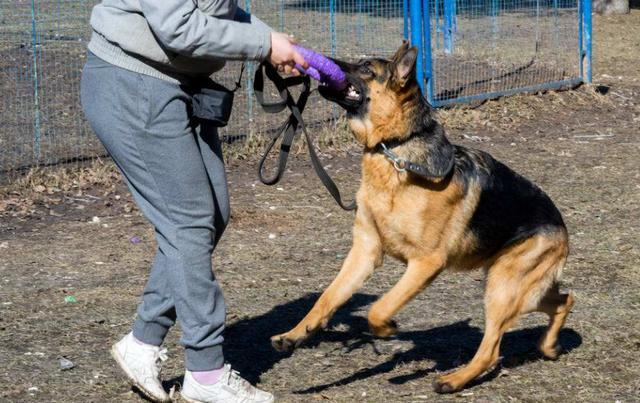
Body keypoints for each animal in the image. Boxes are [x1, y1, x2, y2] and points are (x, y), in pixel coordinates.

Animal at [270, 42, 576, 392]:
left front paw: (386, 328)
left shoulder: (426, 263)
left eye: (366, 68)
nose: (318, 61)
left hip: (503, 288)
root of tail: (561, 225)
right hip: (519, 288)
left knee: (492, 348)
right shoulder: (365, 252)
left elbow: (379, 307)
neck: (393, 149)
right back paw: (548, 347)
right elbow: (327, 297)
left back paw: (454, 380)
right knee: (565, 300)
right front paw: (295, 334)